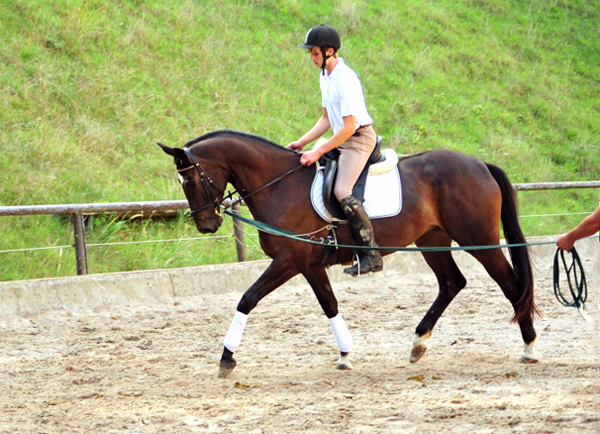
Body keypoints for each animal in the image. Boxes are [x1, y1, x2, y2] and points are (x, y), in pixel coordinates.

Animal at [158, 129, 540, 376]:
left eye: (190, 181)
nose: (206, 225)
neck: (279, 184)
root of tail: (479, 163)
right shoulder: (309, 263)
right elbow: (329, 304)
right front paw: (344, 355)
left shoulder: (289, 260)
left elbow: (247, 298)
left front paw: (226, 358)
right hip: (432, 240)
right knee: (451, 283)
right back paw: (418, 343)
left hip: (478, 239)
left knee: (510, 284)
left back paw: (529, 347)